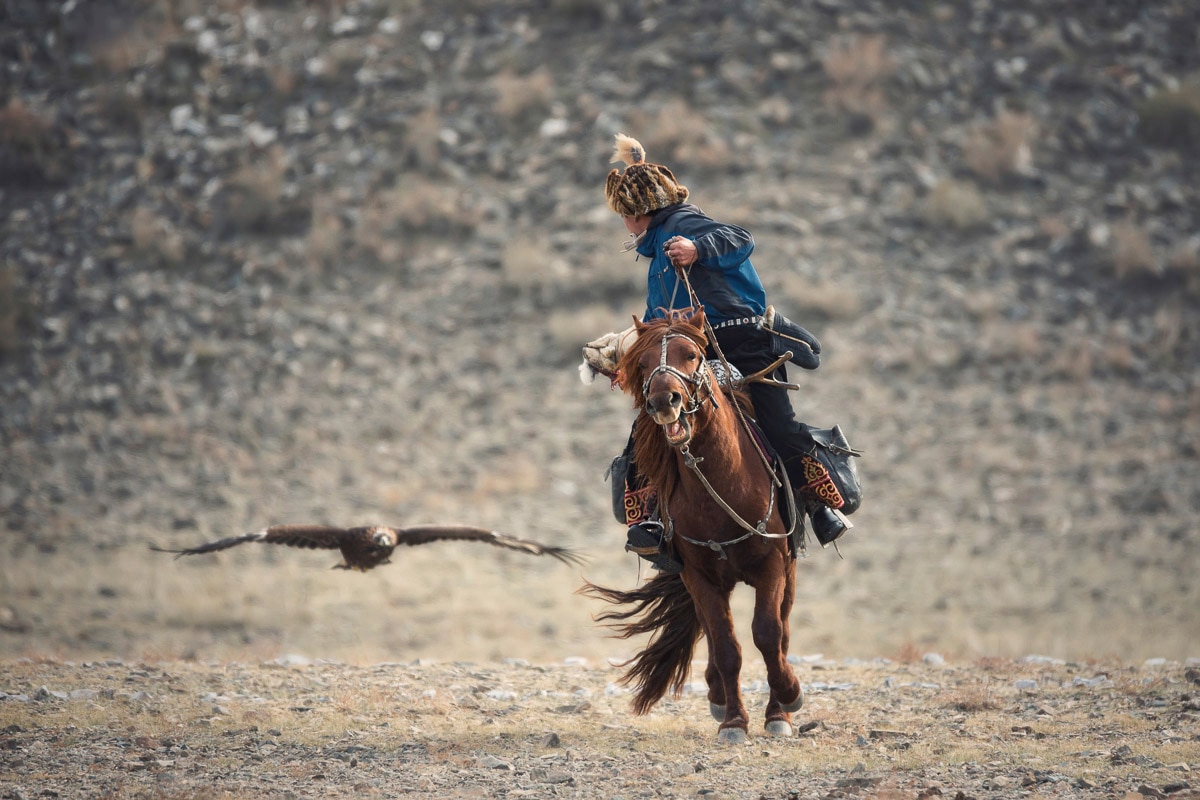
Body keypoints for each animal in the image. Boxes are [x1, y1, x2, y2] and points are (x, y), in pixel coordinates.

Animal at [583, 311, 806, 743]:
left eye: (691, 355)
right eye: (641, 363)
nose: (663, 401)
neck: (722, 490)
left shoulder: (772, 563)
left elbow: (768, 634)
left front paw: (785, 702)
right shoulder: (698, 576)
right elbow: (726, 644)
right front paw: (733, 721)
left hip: (789, 568)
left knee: (784, 628)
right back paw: (718, 696)